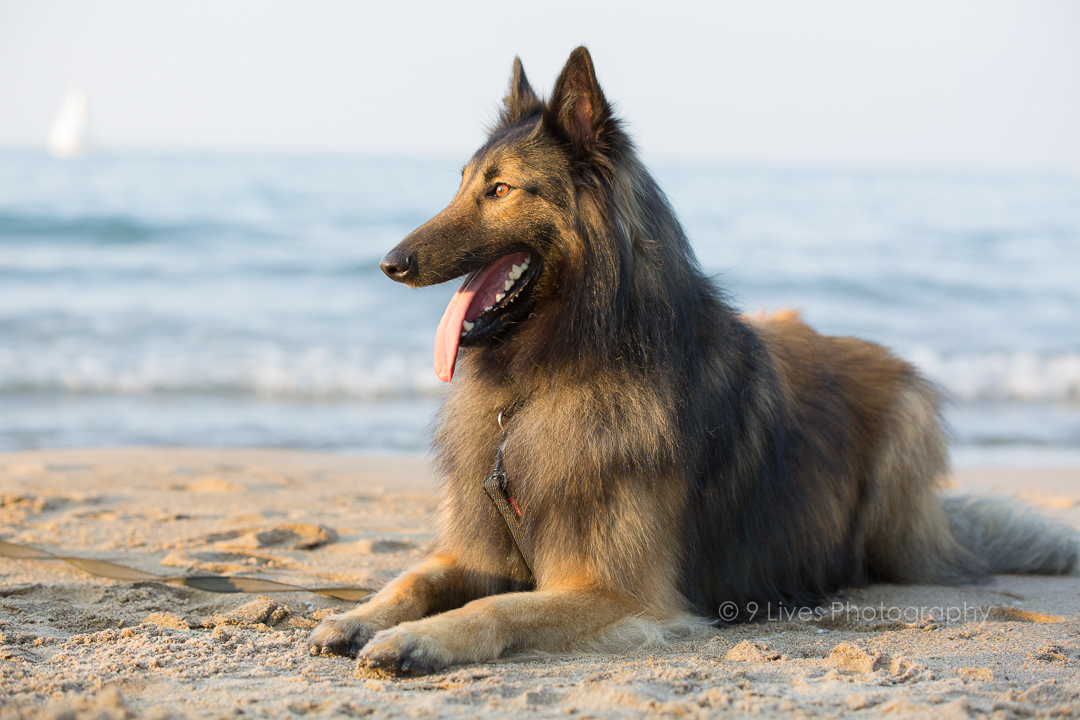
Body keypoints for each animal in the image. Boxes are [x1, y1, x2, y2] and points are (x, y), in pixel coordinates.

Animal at [308, 46, 1075, 677]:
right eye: (463, 184)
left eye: (499, 191)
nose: (390, 263)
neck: (556, 372)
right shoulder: (476, 551)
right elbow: (414, 578)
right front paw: (358, 617)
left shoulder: (619, 590)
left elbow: (493, 607)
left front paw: (418, 639)